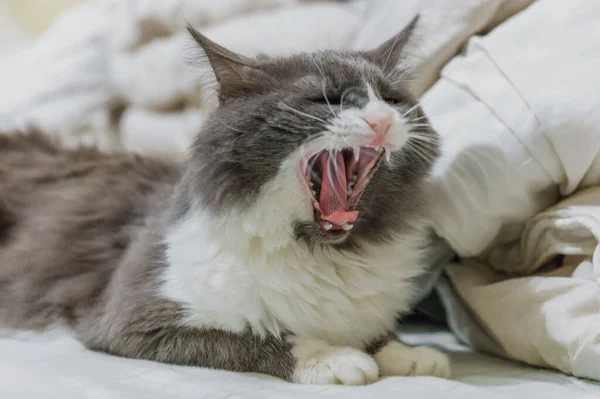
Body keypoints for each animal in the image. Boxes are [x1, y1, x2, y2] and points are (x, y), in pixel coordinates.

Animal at [0, 17, 448, 386]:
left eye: (391, 100)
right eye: (327, 100)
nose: (382, 120)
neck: (320, 254)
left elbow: (376, 331)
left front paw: (409, 354)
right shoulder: (133, 319)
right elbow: (260, 338)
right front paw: (337, 359)